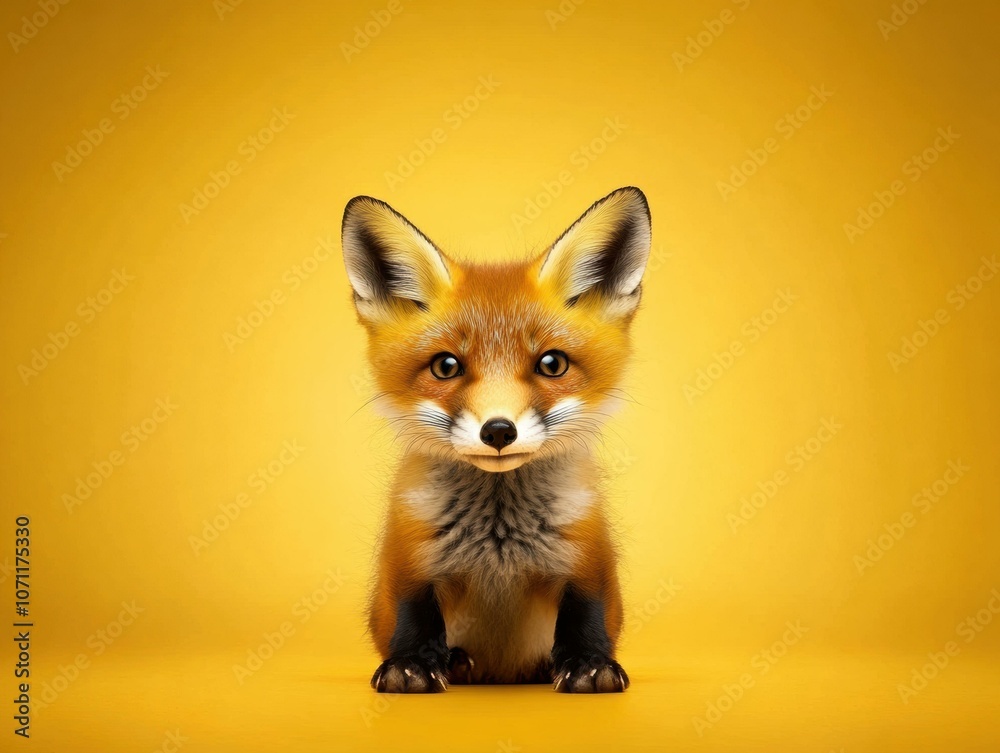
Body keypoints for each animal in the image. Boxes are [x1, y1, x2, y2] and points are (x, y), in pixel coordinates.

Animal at [341, 186, 651, 693]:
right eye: (446, 366)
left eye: (552, 364)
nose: (499, 431)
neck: (499, 537)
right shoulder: (407, 557)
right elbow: (412, 615)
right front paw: (410, 665)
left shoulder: (587, 555)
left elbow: (587, 615)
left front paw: (589, 664)